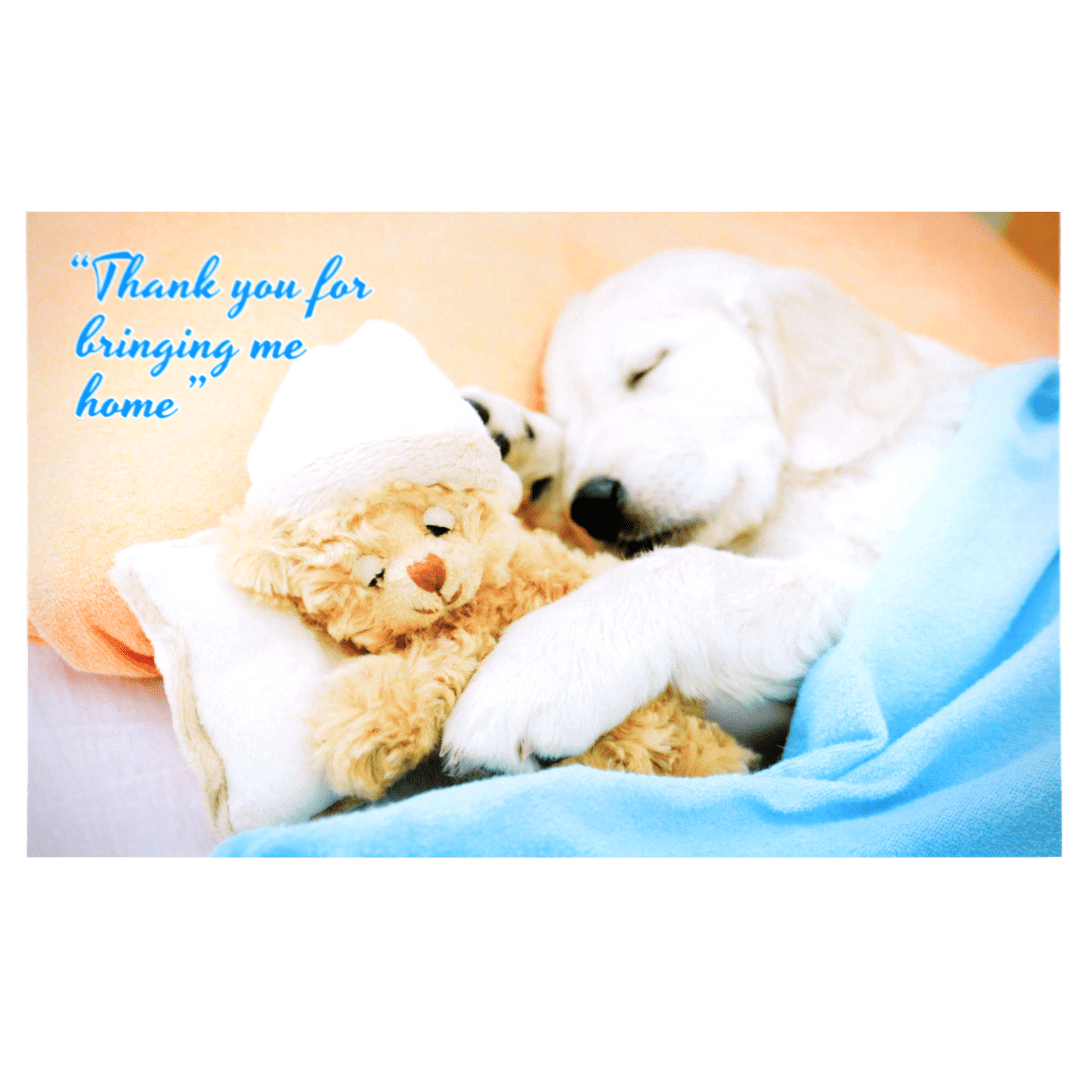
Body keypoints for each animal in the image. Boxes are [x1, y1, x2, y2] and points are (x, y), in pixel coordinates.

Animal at [440, 250, 989, 777]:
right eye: (571, 420)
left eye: (649, 368)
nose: (591, 506)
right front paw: (514, 445)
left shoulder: (891, 582)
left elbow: (688, 569)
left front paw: (543, 663)